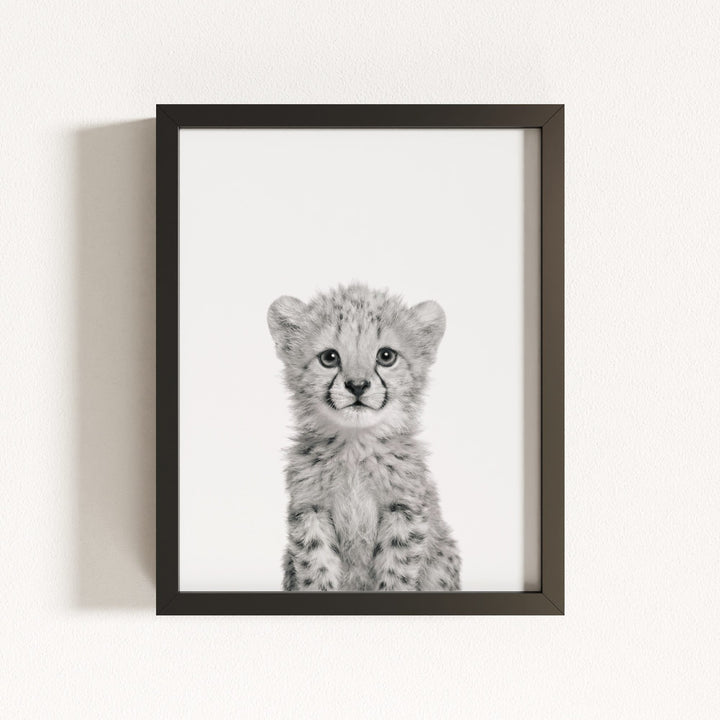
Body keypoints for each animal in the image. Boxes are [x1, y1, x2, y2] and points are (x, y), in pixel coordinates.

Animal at [267, 283, 461, 591]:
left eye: (386, 356)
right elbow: (316, 567)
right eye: (329, 358)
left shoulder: (403, 509)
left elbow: (396, 570)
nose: (357, 385)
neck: (355, 447)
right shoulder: (311, 509)